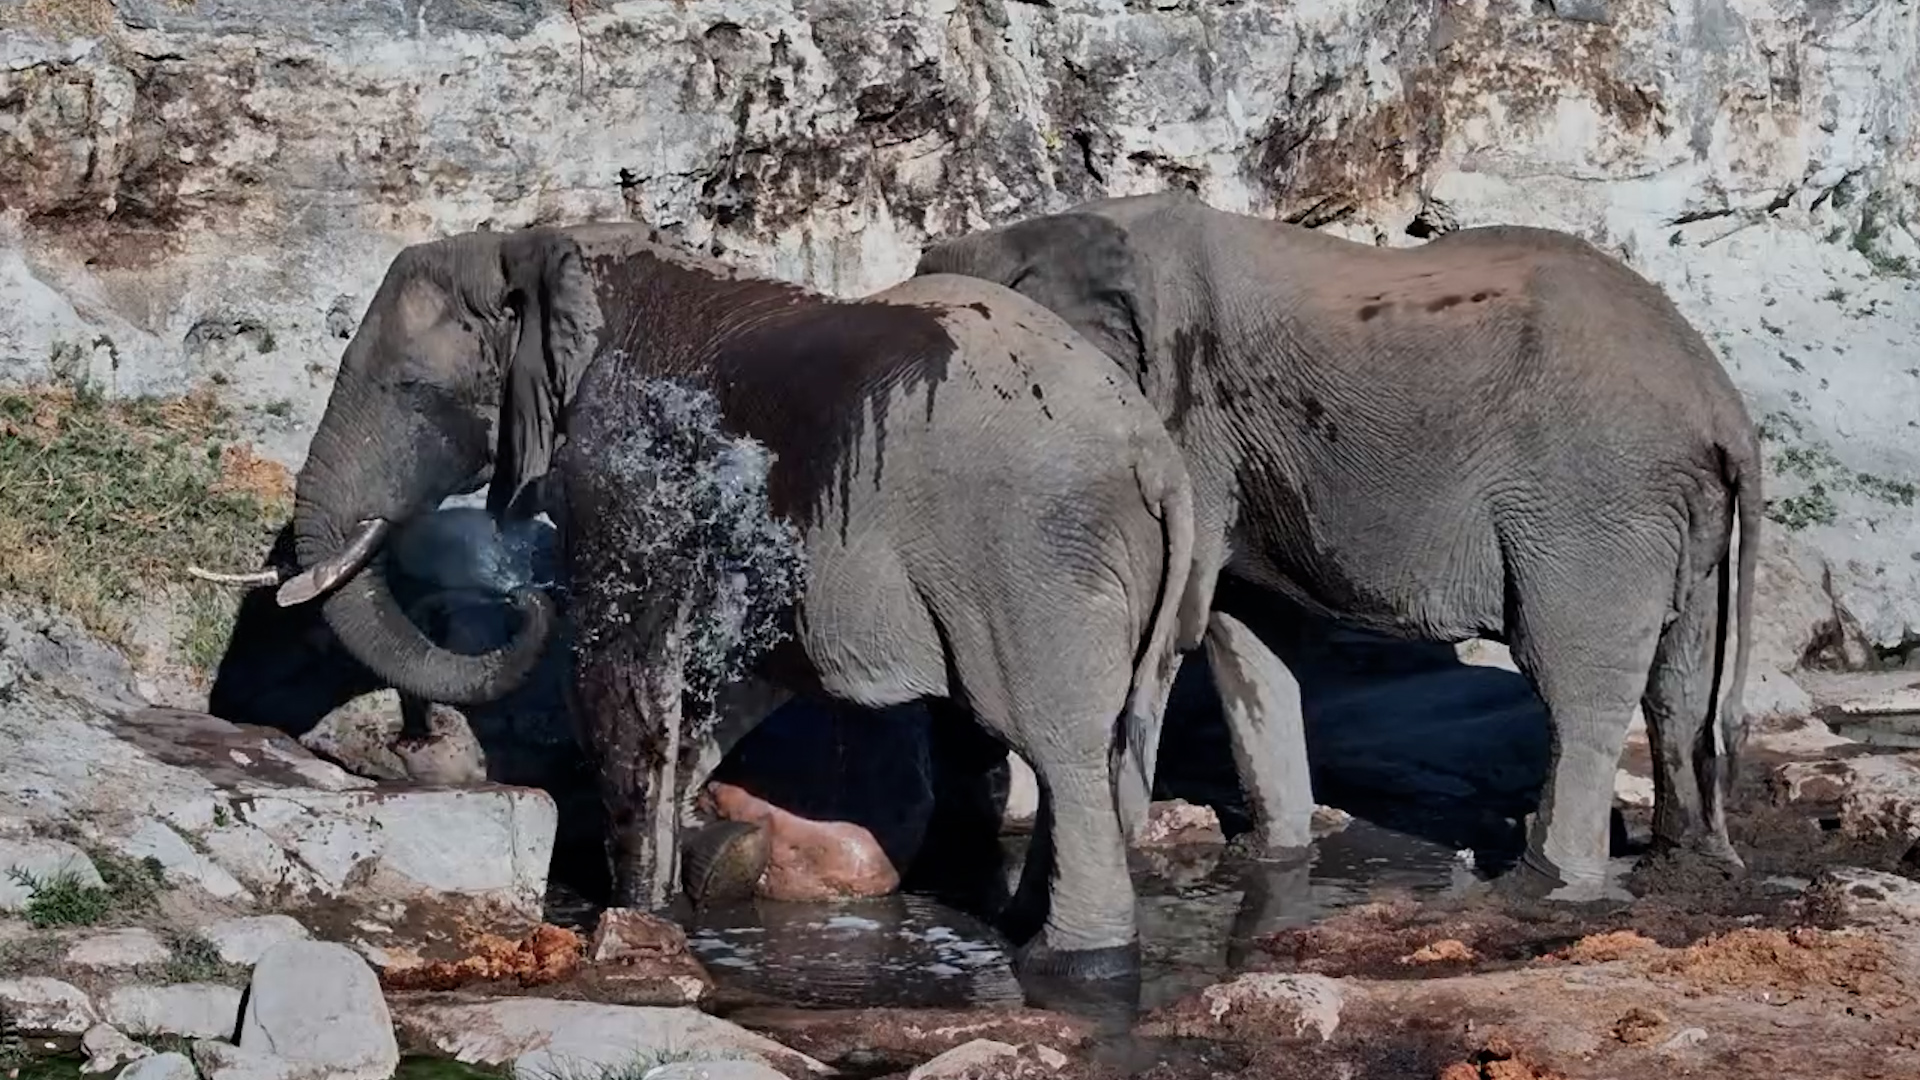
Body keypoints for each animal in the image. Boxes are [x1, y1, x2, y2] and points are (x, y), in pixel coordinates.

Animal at [236, 222, 1210, 981]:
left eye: (409, 390)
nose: (519, 597)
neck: (549, 247)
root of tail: (1158, 461)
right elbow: (732, 677)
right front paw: (676, 885)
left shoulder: (625, 457)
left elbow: (620, 667)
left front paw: (636, 911)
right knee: (1114, 748)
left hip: (1034, 557)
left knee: (1060, 750)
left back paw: (1067, 963)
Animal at [914, 189, 1761, 902]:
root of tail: (1722, 402)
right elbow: (1244, 638)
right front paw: (1267, 861)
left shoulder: (1189, 427)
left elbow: (1163, 633)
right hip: (1676, 512)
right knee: (1678, 681)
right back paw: (1684, 871)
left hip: (1594, 500)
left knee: (1575, 683)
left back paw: (1539, 888)